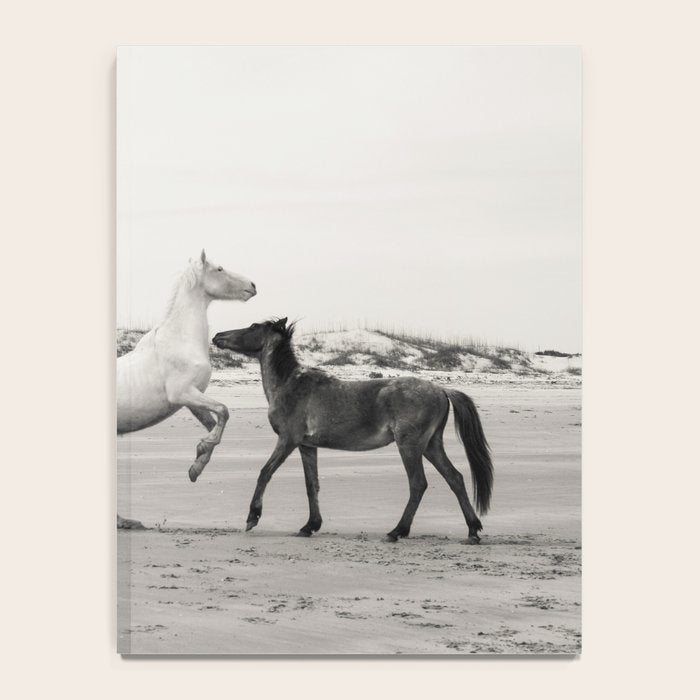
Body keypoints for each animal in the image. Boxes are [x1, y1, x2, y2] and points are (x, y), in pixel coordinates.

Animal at [116, 250, 257, 529]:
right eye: (219, 269)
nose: (252, 286)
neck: (181, 340)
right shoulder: (182, 393)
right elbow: (224, 411)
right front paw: (202, 450)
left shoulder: (190, 400)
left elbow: (214, 422)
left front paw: (197, 466)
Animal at [212, 318, 493, 543]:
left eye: (252, 327)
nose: (217, 336)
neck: (290, 385)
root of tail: (442, 390)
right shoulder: (307, 446)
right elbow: (311, 485)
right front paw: (309, 526)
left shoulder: (287, 440)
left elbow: (265, 473)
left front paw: (252, 517)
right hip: (432, 445)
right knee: (455, 478)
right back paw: (472, 530)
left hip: (410, 445)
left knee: (418, 484)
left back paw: (397, 531)